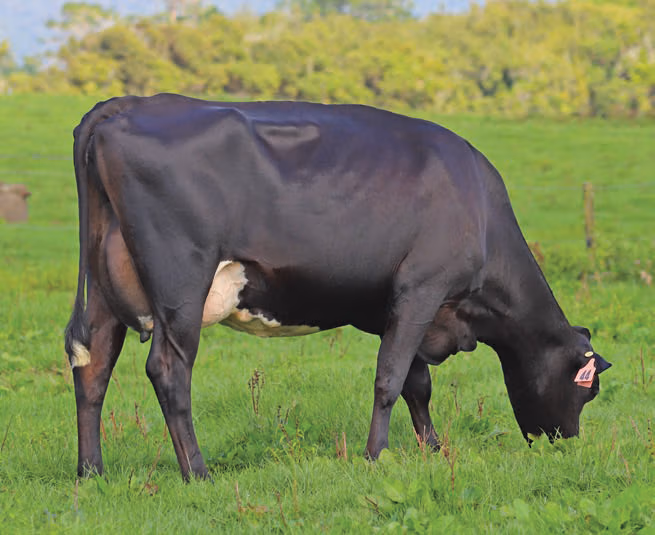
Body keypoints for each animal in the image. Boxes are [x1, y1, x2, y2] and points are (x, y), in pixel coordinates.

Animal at [65, 93, 611, 481]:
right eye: (586, 389)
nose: (566, 443)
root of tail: (127, 104)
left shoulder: (395, 306)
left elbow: (416, 383)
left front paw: (433, 449)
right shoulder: (422, 287)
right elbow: (390, 379)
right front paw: (375, 456)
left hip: (105, 289)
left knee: (92, 364)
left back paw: (92, 472)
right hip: (182, 286)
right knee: (168, 370)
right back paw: (198, 472)